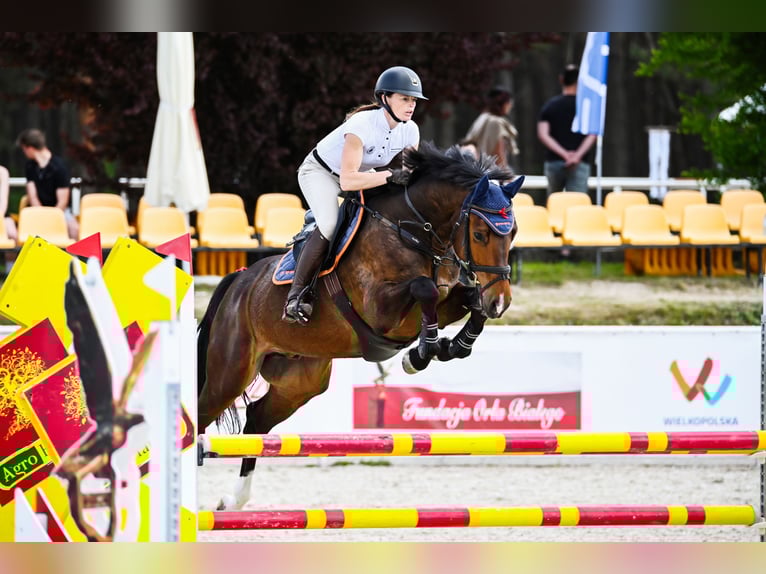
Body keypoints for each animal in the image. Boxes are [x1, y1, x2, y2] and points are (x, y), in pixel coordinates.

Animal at [197, 142, 523, 510]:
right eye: (480, 234)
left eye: (513, 233)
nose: (501, 302)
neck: (413, 232)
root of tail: (239, 280)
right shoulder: (380, 310)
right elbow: (424, 287)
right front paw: (422, 353)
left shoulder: (445, 298)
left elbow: (469, 299)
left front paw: (451, 346)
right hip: (230, 373)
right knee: (201, 415)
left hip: (299, 382)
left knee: (256, 421)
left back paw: (234, 500)